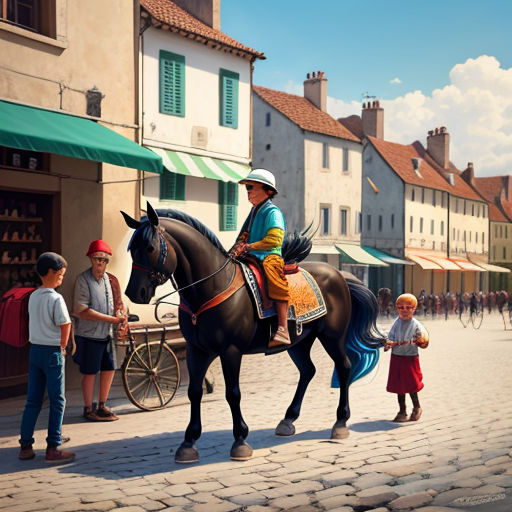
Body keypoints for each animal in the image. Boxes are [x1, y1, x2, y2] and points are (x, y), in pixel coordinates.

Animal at [121, 204, 384, 464]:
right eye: (131, 249)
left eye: (150, 247)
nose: (135, 292)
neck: (211, 286)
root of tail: (339, 275)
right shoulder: (196, 350)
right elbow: (194, 391)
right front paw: (188, 443)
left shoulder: (230, 351)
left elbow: (233, 393)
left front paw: (240, 440)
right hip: (298, 342)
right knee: (308, 371)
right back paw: (288, 419)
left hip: (332, 337)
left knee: (344, 367)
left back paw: (340, 422)